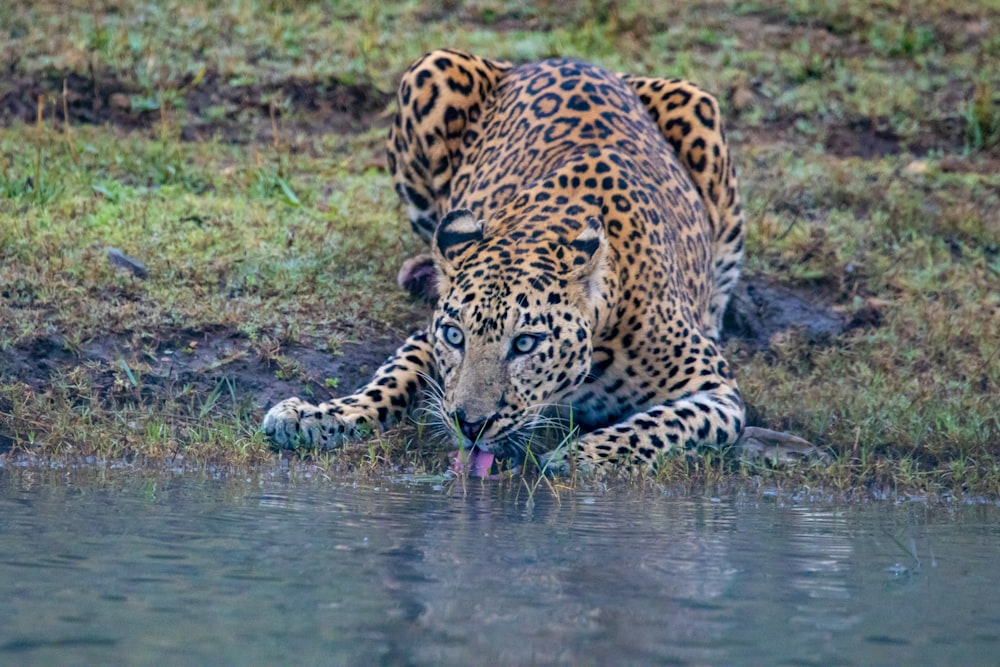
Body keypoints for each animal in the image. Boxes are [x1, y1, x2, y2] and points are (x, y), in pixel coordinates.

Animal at [262, 48, 748, 474]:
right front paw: (316, 416)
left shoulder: (718, 392)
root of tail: (565, 58)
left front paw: (579, 457)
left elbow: (659, 425)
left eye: (526, 344)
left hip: (701, 114)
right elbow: (389, 380)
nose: (470, 425)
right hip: (430, 71)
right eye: (455, 336)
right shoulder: (427, 335)